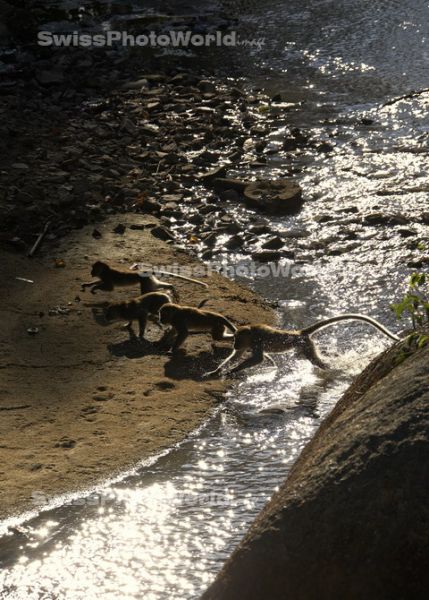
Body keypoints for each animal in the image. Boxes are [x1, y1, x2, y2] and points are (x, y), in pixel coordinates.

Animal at [202, 314, 400, 376]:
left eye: (237, 339)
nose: (235, 344)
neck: (250, 332)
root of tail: (299, 333)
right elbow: (237, 356)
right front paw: (217, 371)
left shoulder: (257, 340)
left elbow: (257, 358)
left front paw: (232, 371)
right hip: (304, 345)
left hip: (305, 345)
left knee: (315, 360)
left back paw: (330, 369)